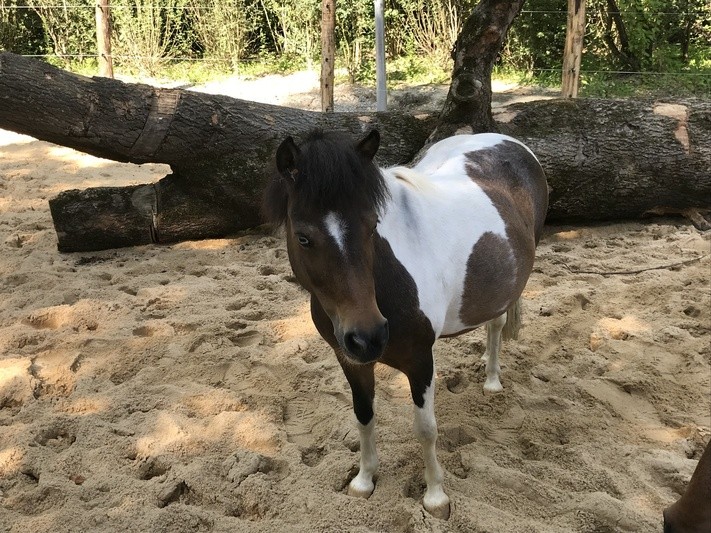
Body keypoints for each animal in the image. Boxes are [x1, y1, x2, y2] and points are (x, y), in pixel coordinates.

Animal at [263, 128, 548, 519]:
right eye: (303, 237)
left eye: (372, 227)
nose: (368, 336)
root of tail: (507, 140)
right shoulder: (349, 360)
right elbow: (363, 416)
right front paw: (364, 481)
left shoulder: (420, 360)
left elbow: (425, 429)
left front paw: (435, 497)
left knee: (496, 324)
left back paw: (492, 381)